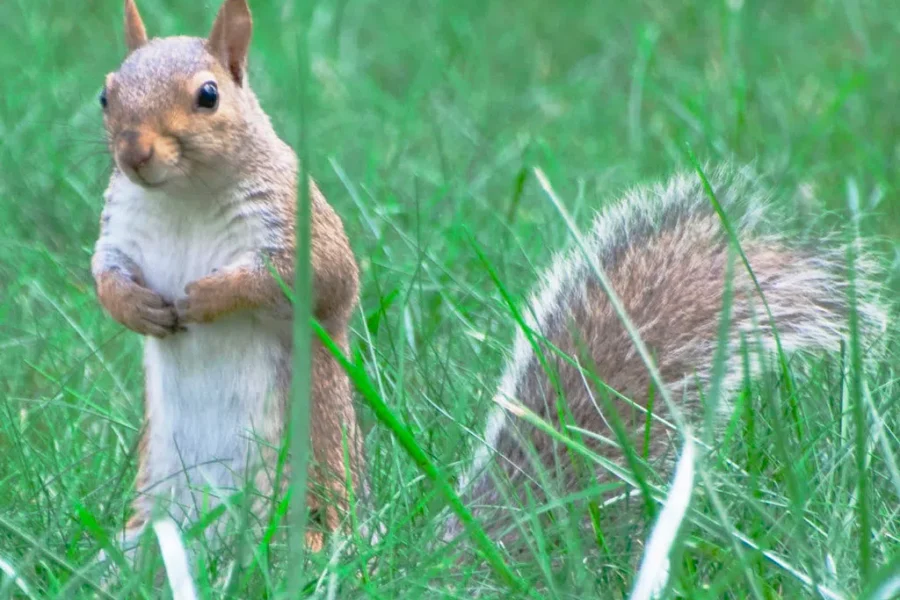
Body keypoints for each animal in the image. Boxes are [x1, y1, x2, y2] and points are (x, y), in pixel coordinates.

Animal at [91, 0, 363, 556]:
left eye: (209, 95)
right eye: (106, 94)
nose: (133, 153)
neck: (183, 195)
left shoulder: (297, 226)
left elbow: (307, 279)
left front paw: (208, 296)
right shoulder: (119, 236)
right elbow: (105, 276)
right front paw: (138, 308)